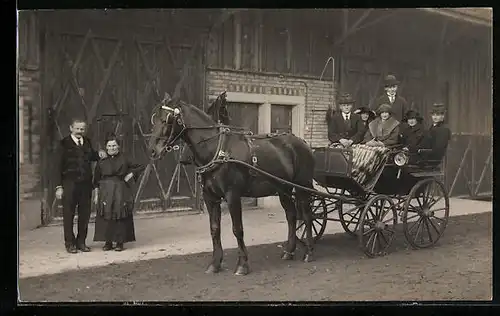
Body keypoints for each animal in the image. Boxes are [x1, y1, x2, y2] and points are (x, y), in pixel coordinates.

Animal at [146, 95, 316, 276]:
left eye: (167, 120)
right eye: (154, 119)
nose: (152, 150)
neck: (217, 149)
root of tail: (302, 142)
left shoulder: (232, 195)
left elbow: (237, 229)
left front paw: (242, 265)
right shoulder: (210, 196)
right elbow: (214, 229)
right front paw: (215, 263)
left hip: (302, 186)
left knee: (307, 216)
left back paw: (309, 252)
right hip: (283, 189)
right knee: (291, 215)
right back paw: (289, 251)